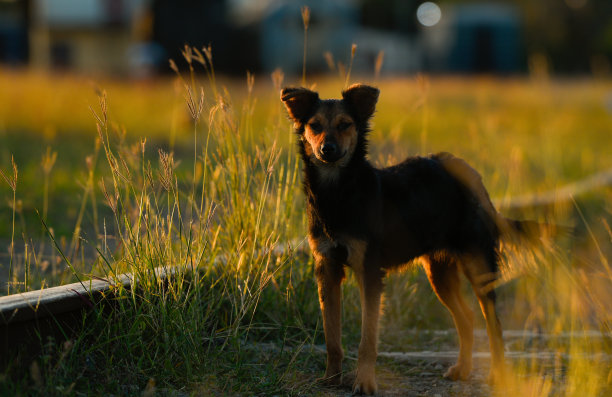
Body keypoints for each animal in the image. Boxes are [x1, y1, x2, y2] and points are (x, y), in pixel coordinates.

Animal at [282, 84, 540, 392]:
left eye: (345, 125)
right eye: (315, 126)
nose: (327, 149)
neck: (338, 194)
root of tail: (469, 171)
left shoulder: (369, 272)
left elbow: (367, 339)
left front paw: (365, 382)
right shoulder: (327, 269)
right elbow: (332, 336)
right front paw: (332, 379)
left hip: (478, 266)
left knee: (493, 323)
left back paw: (497, 374)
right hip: (438, 273)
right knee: (466, 319)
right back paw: (463, 368)